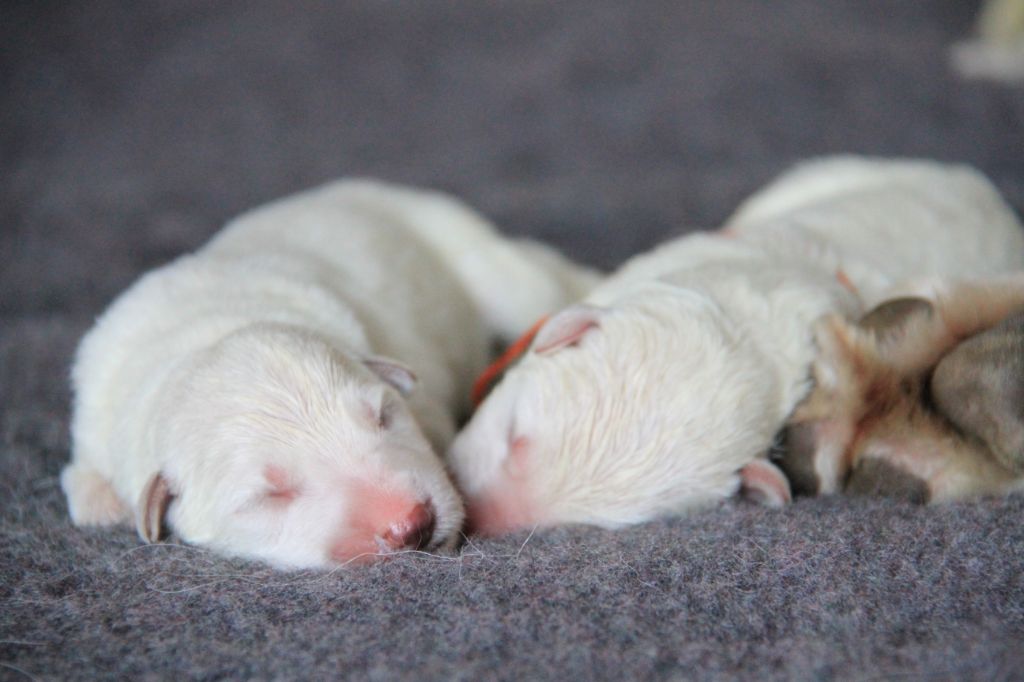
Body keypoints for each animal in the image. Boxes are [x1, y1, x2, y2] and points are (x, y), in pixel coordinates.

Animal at [64, 178, 598, 565]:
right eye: (269, 495)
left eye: (383, 416)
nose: (413, 524)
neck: (209, 331)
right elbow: (83, 472)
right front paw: (101, 502)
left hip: (487, 263)